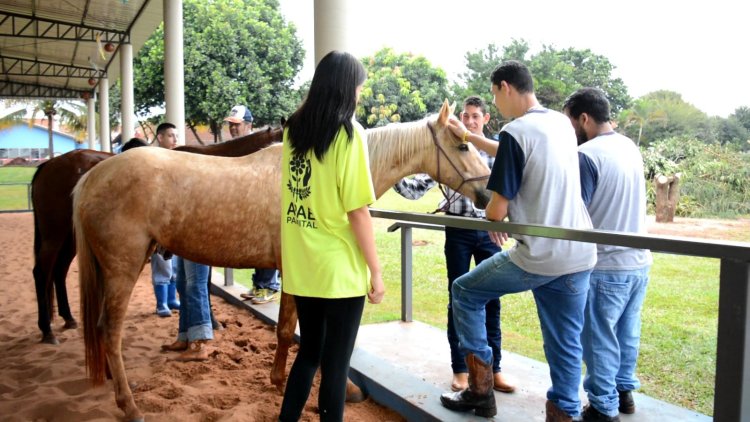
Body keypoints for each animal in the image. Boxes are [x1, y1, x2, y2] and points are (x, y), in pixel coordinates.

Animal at [28, 127, 282, 344]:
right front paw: (212, 322)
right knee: (42, 272)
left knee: (59, 271)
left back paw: (68, 318)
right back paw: (47, 330)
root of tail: (48, 165)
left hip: (72, 239)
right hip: (55, 235)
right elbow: (203, 284)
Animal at [73, 100, 490, 420]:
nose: (487, 192)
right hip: (123, 268)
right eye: (462, 146)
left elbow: (296, 332)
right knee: (109, 330)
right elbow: (295, 332)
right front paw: (287, 383)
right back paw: (129, 405)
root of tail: (92, 176)